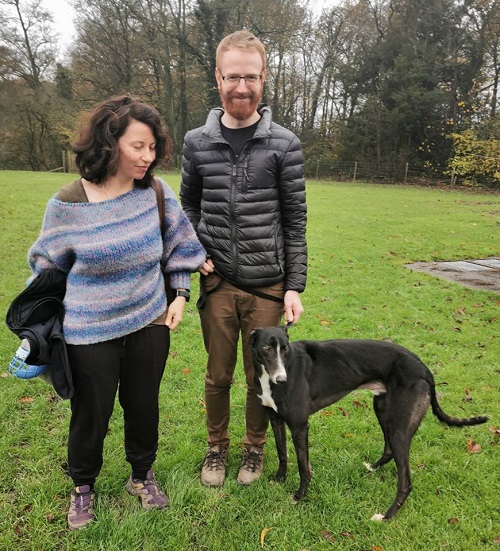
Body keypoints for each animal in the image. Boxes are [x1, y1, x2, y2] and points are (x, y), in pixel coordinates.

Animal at [252, 328, 486, 520]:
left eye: (285, 349)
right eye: (266, 348)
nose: (282, 379)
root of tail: (424, 369)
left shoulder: (300, 426)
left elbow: (303, 467)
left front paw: (299, 496)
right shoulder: (275, 419)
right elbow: (282, 452)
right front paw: (279, 479)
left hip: (399, 427)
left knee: (405, 482)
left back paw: (386, 516)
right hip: (382, 409)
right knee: (389, 449)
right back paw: (373, 467)